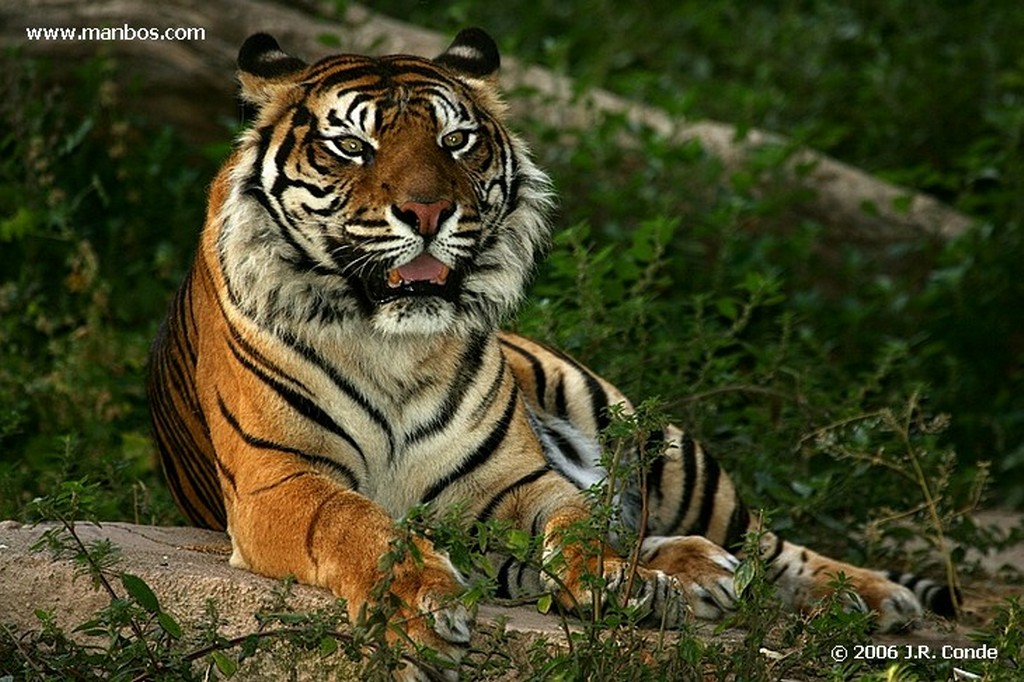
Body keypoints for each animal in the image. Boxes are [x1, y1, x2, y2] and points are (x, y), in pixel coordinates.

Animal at [148, 25, 954, 675]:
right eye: (352, 145)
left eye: (455, 141)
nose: (429, 211)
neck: (391, 343)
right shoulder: (279, 482)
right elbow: (359, 526)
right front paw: (418, 607)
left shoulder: (517, 480)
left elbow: (579, 521)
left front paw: (622, 583)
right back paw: (700, 572)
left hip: (661, 449)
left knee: (767, 543)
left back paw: (867, 594)